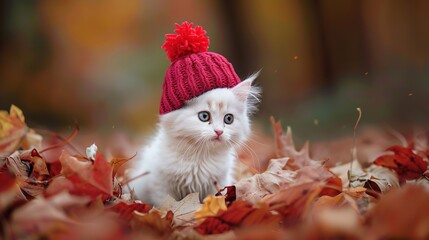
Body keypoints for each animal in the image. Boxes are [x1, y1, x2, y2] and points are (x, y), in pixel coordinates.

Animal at [128, 72, 260, 205]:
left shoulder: (218, 183)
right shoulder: (160, 184)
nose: (219, 131)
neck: (200, 157)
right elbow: (164, 204)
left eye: (228, 119)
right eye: (204, 116)